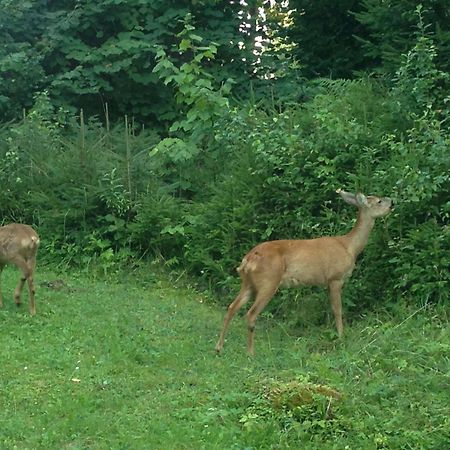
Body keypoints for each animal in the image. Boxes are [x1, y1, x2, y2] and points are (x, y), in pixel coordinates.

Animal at [216, 189, 392, 356]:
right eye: (379, 201)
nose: (393, 202)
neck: (349, 247)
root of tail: (247, 260)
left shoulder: (327, 283)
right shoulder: (335, 278)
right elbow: (338, 310)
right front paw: (341, 337)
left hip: (248, 283)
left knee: (231, 307)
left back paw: (219, 348)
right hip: (268, 281)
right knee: (251, 314)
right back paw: (251, 353)